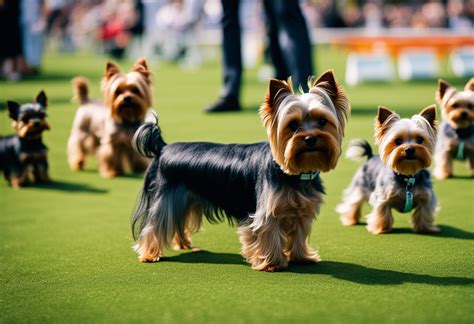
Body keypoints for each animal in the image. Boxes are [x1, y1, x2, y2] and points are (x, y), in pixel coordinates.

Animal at [131, 71, 350, 270]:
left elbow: (299, 235)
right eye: (293, 125)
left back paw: (184, 244)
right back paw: (149, 254)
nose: (310, 138)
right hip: (164, 198)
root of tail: (163, 147)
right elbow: (268, 235)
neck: (294, 173)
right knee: (154, 225)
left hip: (184, 199)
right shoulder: (265, 214)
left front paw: (302, 257)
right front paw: (271, 263)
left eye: (322, 121)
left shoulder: (301, 212)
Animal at [336, 106, 440, 235]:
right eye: (398, 141)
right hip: (359, 186)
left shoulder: (426, 198)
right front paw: (380, 228)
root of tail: (371, 156)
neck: (407, 177)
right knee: (353, 201)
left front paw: (425, 228)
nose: (409, 149)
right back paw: (350, 220)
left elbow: (424, 213)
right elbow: (382, 213)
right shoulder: (382, 197)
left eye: (420, 139)